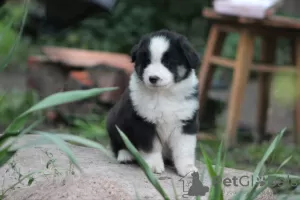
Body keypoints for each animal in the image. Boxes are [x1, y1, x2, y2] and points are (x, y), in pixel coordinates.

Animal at [106, 29, 200, 177]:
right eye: (146, 62)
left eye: (168, 63)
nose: (153, 78)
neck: (163, 94)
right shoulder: (144, 121)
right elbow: (151, 147)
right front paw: (153, 166)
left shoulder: (186, 121)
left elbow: (184, 148)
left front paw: (187, 169)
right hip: (114, 122)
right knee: (118, 144)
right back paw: (126, 155)